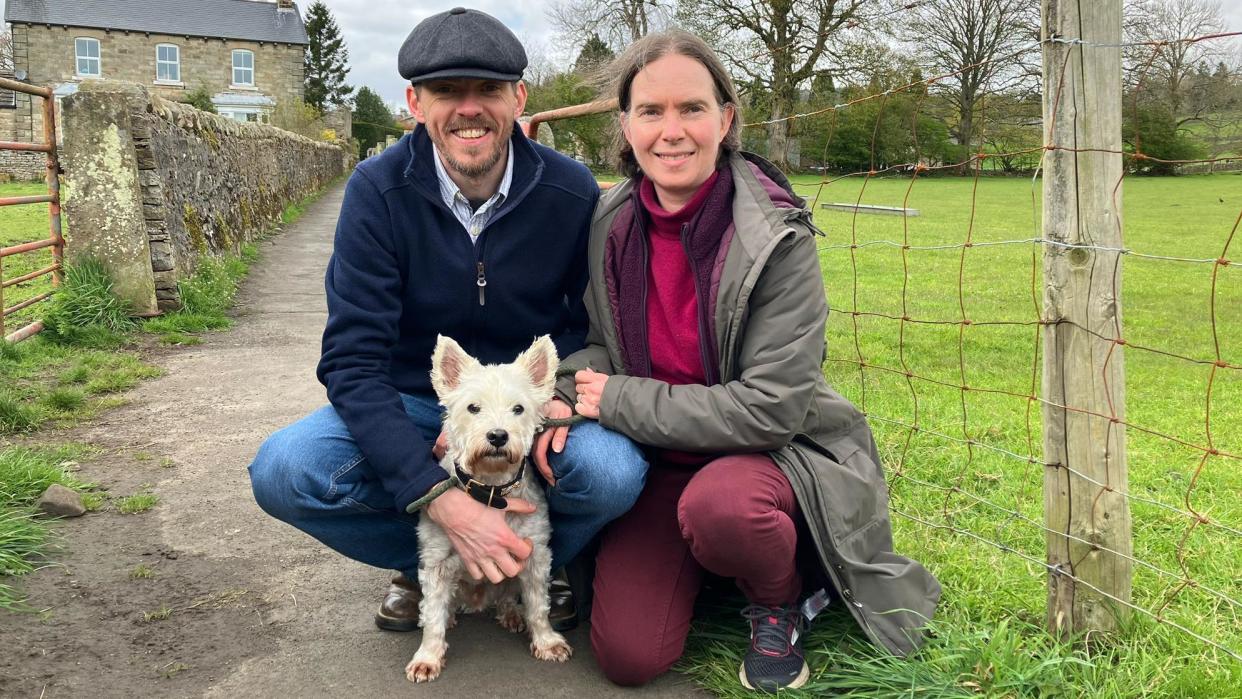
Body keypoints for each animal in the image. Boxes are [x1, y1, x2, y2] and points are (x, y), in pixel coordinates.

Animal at [407, 335, 571, 685]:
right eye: (473, 407)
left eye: (518, 408)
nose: (497, 435)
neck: (492, 489)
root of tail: (477, 601)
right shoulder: (436, 563)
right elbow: (432, 615)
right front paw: (427, 657)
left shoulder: (535, 556)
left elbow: (538, 605)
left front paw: (546, 641)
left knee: (508, 596)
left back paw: (511, 614)